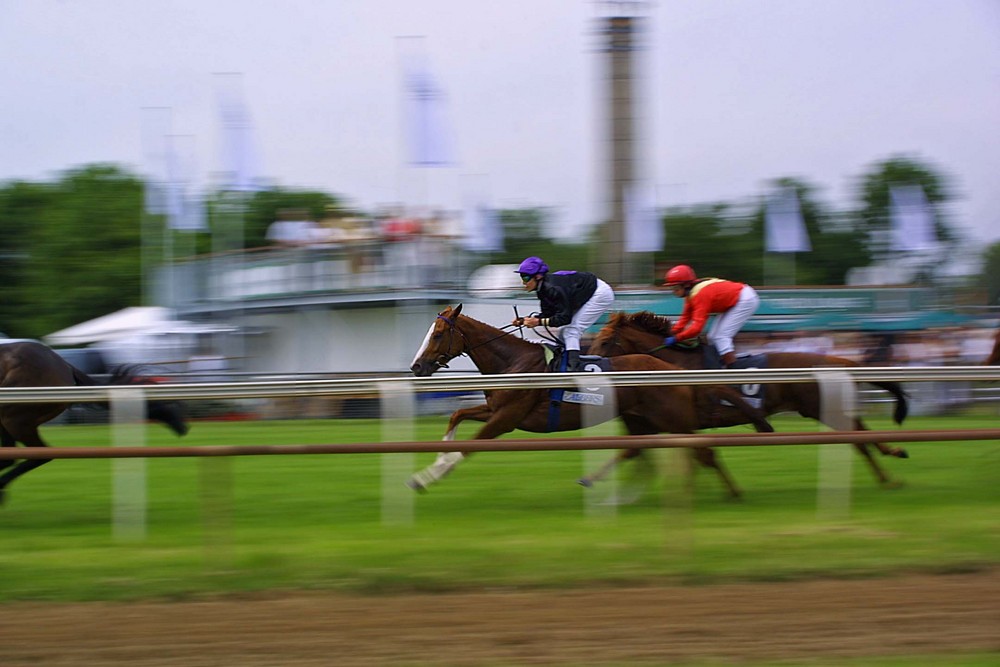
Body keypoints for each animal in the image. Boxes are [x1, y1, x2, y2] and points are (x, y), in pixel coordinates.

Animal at [0, 342, 189, 504]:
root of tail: (64, 364)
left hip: (15, 419)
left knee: (38, 454)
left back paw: (2, 488)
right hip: (10, 420)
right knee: (13, 457)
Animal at [410, 302, 768, 496]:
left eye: (438, 334)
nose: (416, 367)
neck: (513, 362)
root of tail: (671, 367)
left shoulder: (506, 418)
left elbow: (469, 446)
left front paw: (425, 477)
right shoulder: (495, 409)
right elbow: (456, 416)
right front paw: (437, 460)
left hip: (674, 419)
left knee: (703, 452)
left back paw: (733, 493)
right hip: (640, 418)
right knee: (640, 451)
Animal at [588, 310, 912, 488]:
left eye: (604, 341)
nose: (587, 362)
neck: (674, 364)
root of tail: (836, 360)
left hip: (822, 408)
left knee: (859, 437)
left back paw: (890, 467)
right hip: (824, 407)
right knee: (859, 433)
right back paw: (891, 464)